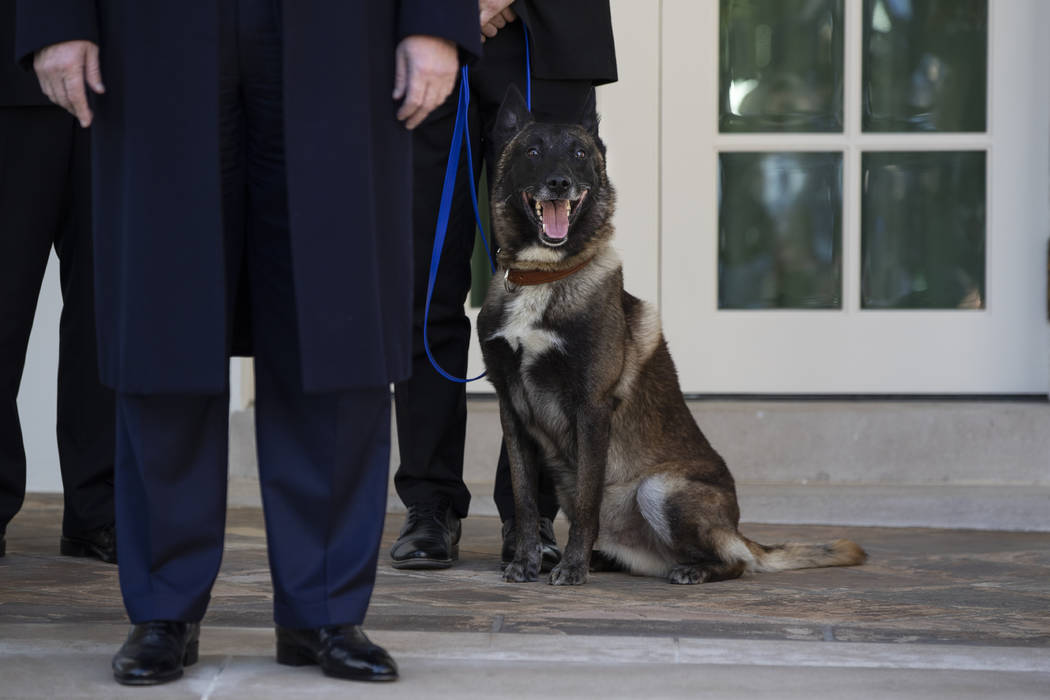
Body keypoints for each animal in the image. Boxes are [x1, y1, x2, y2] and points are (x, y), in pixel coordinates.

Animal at [480, 89, 865, 587]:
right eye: (533, 152)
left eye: (579, 154)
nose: (560, 183)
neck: (542, 275)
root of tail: (736, 531)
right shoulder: (511, 411)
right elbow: (525, 501)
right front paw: (526, 561)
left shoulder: (591, 408)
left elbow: (585, 503)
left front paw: (571, 568)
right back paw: (606, 559)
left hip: (659, 488)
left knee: (737, 563)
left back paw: (687, 570)